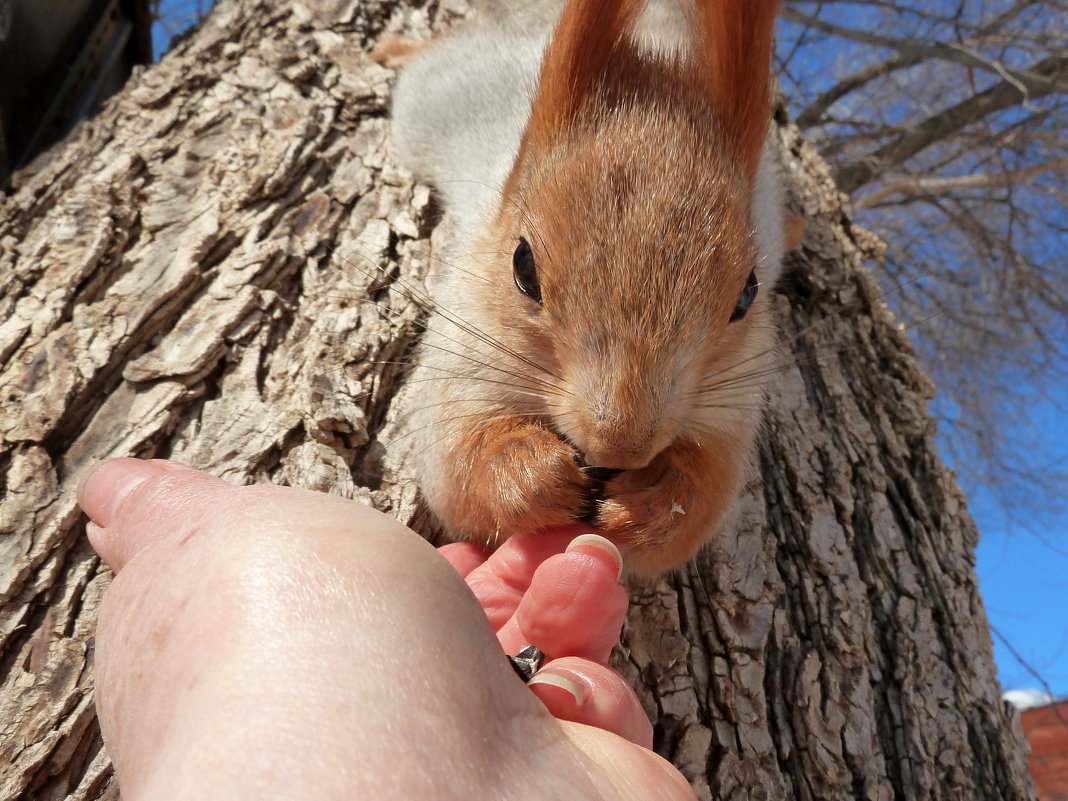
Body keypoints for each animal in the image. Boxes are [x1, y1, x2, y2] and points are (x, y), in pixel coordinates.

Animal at [371, 0, 798, 576]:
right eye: (523, 266)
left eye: (748, 293)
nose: (619, 447)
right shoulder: (465, 350)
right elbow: (457, 462)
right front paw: (534, 475)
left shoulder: (730, 405)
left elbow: (703, 494)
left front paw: (652, 505)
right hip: (435, 96)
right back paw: (393, 49)